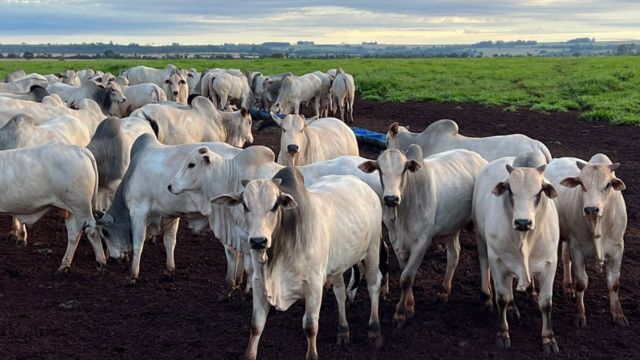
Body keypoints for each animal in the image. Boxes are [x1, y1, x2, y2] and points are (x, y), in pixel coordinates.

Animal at [211, 168, 380, 360]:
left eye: (275, 206)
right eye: (245, 205)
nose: (258, 241)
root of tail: (364, 186)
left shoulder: (314, 284)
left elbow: (310, 326)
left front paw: (312, 355)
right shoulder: (260, 282)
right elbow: (256, 324)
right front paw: (249, 354)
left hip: (373, 250)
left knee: (374, 286)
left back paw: (374, 330)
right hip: (337, 266)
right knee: (340, 293)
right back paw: (343, 331)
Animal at [360, 145, 484, 328]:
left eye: (404, 169)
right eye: (380, 169)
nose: (391, 198)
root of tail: (479, 158)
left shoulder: (422, 242)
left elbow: (406, 278)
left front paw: (400, 313)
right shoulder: (395, 241)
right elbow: (405, 273)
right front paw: (410, 307)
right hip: (452, 228)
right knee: (454, 254)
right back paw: (444, 292)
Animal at [472, 153, 556, 352]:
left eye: (539, 191)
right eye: (510, 190)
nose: (523, 222)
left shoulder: (550, 263)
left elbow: (546, 303)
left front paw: (548, 338)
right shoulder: (498, 261)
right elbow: (502, 298)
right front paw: (502, 333)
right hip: (480, 238)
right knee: (484, 264)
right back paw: (490, 299)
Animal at [544, 153, 628, 328]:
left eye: (608, 184)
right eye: (581, 183)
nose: (591, 209)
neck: (598, 224)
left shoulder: (618, 249)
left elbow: (614, 283)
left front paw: (618, 314)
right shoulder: (577, 248)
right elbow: (581, 283)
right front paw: (580, 315)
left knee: (565, 257)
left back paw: (568, 287)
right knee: (565, 258)